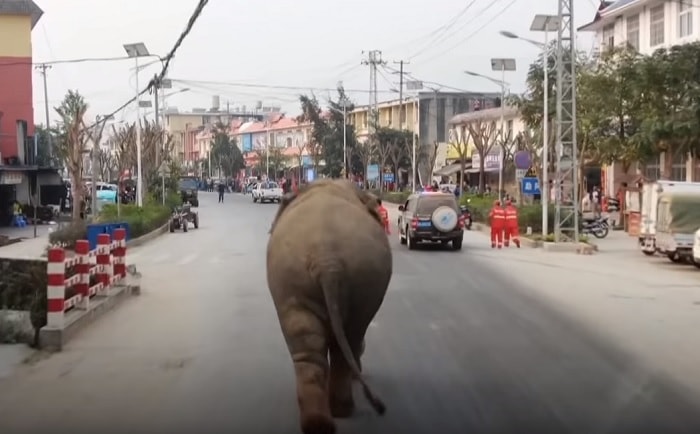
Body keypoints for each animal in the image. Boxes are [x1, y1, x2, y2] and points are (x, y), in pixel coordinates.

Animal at [267, 179, 393, 434]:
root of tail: (327, 260)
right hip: (357, 277)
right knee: (351, 336)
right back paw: (341, 411)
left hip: (291, 277)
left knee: (308, 343)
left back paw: (319, 423)